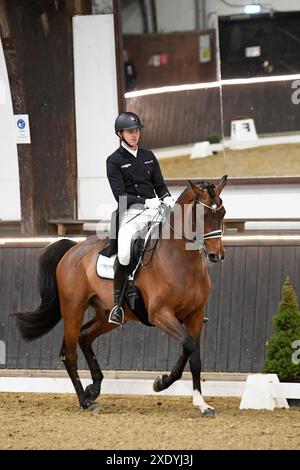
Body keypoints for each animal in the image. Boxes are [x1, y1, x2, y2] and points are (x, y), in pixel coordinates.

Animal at [15, 175, 227, 414]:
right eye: (203, 215)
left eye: (222, 213)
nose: (217, 255)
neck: (182, 261)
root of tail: (73, 249)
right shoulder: (160, 314)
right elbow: (188, 345)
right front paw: (161, 383)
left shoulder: (195, 316)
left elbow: (195, 357)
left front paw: (201, 403)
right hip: (73, 308)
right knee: (68, 353)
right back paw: (85, 400)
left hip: (107, 314)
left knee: (84, 336)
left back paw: (93, 388)